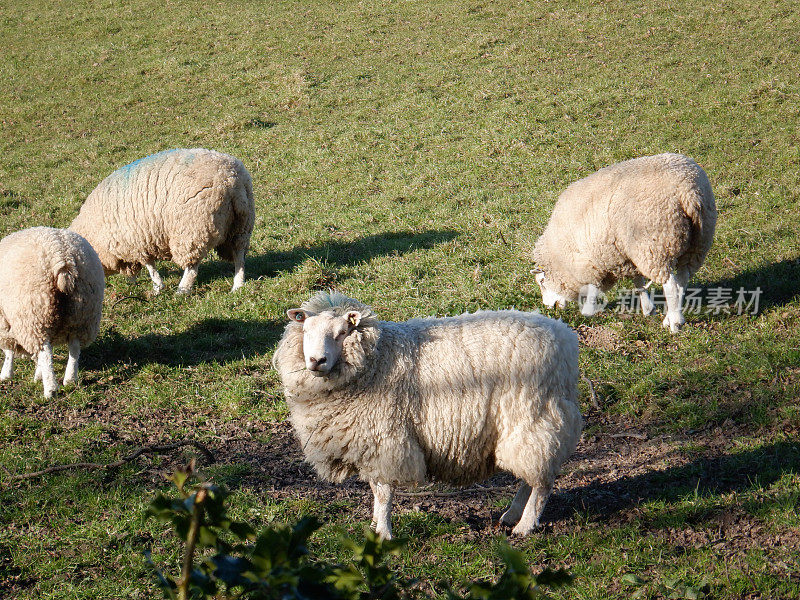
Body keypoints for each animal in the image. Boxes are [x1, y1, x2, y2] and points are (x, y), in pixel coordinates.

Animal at [0, 227, 104, 396]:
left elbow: (9, 350)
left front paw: (6, 374)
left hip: (35, 313)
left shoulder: (4, 321)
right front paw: (37, 374)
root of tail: (64, 258)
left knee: (45, 352)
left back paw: (50, 389)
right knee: (74, 347)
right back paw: (70, 379)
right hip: (84, 312)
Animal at [71, 146, 255, 294]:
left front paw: (157, 287)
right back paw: (238, 285)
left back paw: (182, 290)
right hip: (242, 225)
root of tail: (231, 179)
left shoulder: (136, 240)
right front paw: (137, 282)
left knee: (192, 266)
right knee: (239, 255)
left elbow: (149, 265)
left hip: (193, 228)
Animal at [274, 290, 580, 540]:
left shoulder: (386, 439)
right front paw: (374, 526)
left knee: (541, 482)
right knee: (532, 473)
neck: (376, 359)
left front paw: (383, 532)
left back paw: (525, 526)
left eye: (341, 333)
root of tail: (565, 337)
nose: (317, 361)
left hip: (532, 416)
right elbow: (375, 488)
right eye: (306, 331)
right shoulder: (371, 442)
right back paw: (512, 515)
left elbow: (383, 492)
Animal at [532, 152, 720, 332]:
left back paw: (674, 323)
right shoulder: (626, 253)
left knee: (672, 286)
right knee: (682, 281)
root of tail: (688, 191)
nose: (548, 307)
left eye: (542, 282)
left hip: (656, 244)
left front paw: (588, 311)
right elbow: (638, 283)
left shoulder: (589, 263)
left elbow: (593, 288)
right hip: (697, 242)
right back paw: (673, 316)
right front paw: (648, 309)